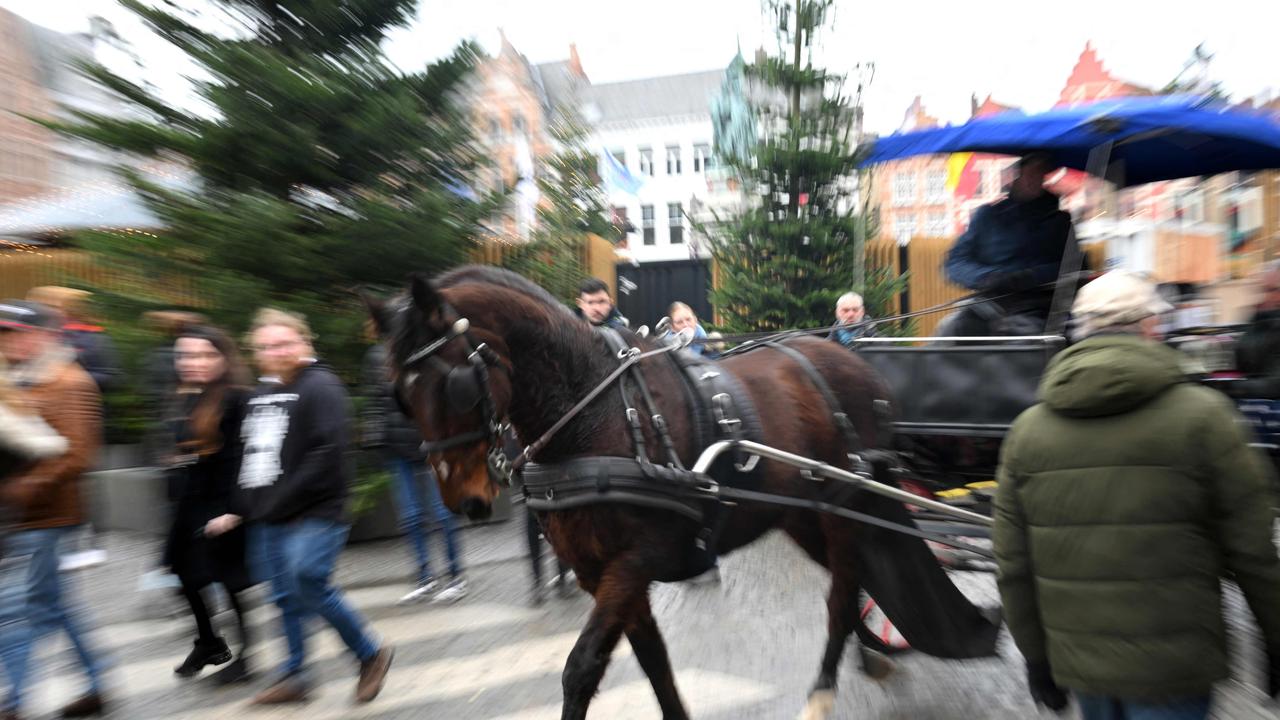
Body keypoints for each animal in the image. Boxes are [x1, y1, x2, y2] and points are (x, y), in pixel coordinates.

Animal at [363, 266, 998, 717]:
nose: (465, 501)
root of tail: (853, 359)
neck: (596, 416)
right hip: (800, 516)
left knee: (842, 594)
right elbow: (654, 665)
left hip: (847, 509)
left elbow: (581, 669)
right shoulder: (601, 573)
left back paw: (824, 687)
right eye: (398, 394)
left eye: (457, 385)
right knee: (855, 580)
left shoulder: (635, 560)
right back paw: (868, 654)